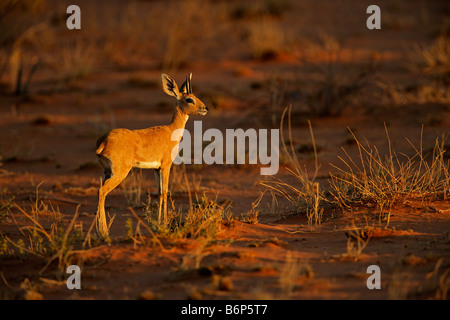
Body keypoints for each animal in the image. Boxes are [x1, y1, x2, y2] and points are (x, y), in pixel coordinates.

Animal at [96, 72, 208, 238]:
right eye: (189, 99)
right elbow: (166, 192)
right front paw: (165, 225)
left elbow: (160, 192)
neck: (171, 131)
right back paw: (104, 232)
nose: (205, 108)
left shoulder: (156, 169)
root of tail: (104, 140)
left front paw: (159, 223)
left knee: (99, 190)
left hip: (106, 172)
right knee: (102, 191)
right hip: (120, 173)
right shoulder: (166, 166)